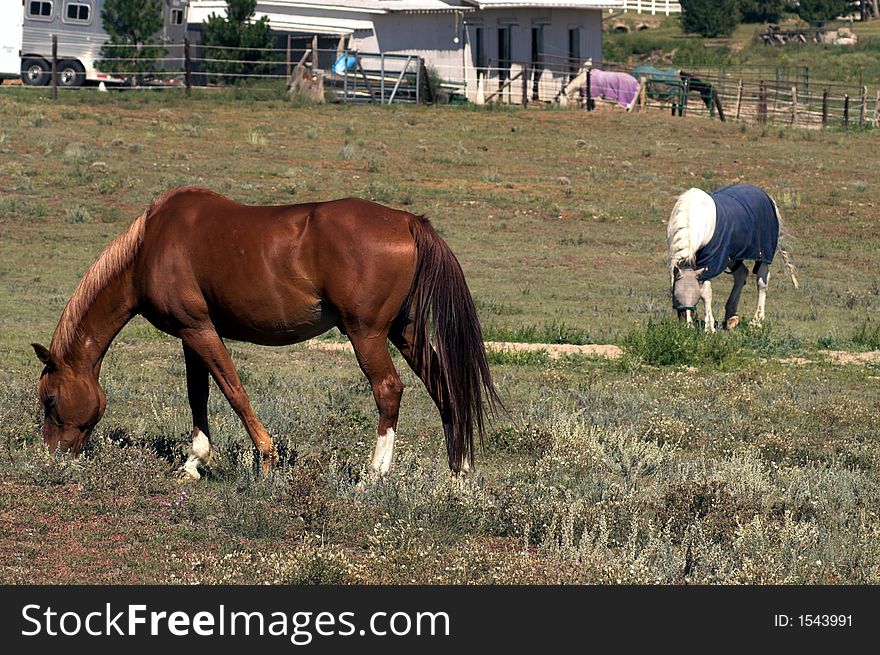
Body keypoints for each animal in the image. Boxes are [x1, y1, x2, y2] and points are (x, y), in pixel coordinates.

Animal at [31, 187, 498, 480]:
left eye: (50, 399)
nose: (51, 457)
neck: (150, 245)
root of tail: (406, 221)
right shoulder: (191, 336)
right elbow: (199, 395)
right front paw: (194, 463)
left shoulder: (197, 329)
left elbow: (233, 391)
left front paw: (265, 456)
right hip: (405, 331)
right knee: (442, 385)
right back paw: (459, 471)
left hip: (366, 334)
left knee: (389, 389)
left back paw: (374, 474)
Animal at [668, 186, 796, 334]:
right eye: (676, 296)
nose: (686, 327)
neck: (692, 219)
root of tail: (768, 197)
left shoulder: (711, 261)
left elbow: (706, 293)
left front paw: (709, 328)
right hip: (732, 256)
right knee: (741, 274)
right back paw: (731, 318)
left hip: (763, 255)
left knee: (762, 281)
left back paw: (757, 322)